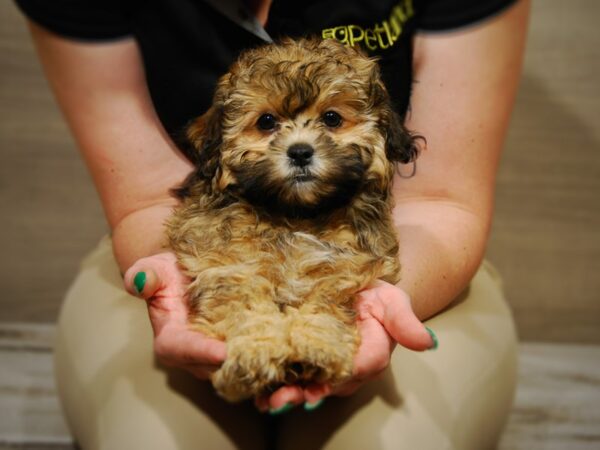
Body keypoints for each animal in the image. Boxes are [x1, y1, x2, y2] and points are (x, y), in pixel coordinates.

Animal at [166, 38, 420, 402]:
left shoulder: (344, 268)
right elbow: (243, 303)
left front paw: (318, 346)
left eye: (332, 118)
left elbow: (326, 301)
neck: (294, 214)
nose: (300, 152)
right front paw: (255, 352)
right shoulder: (229, 265)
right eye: (266, 122)